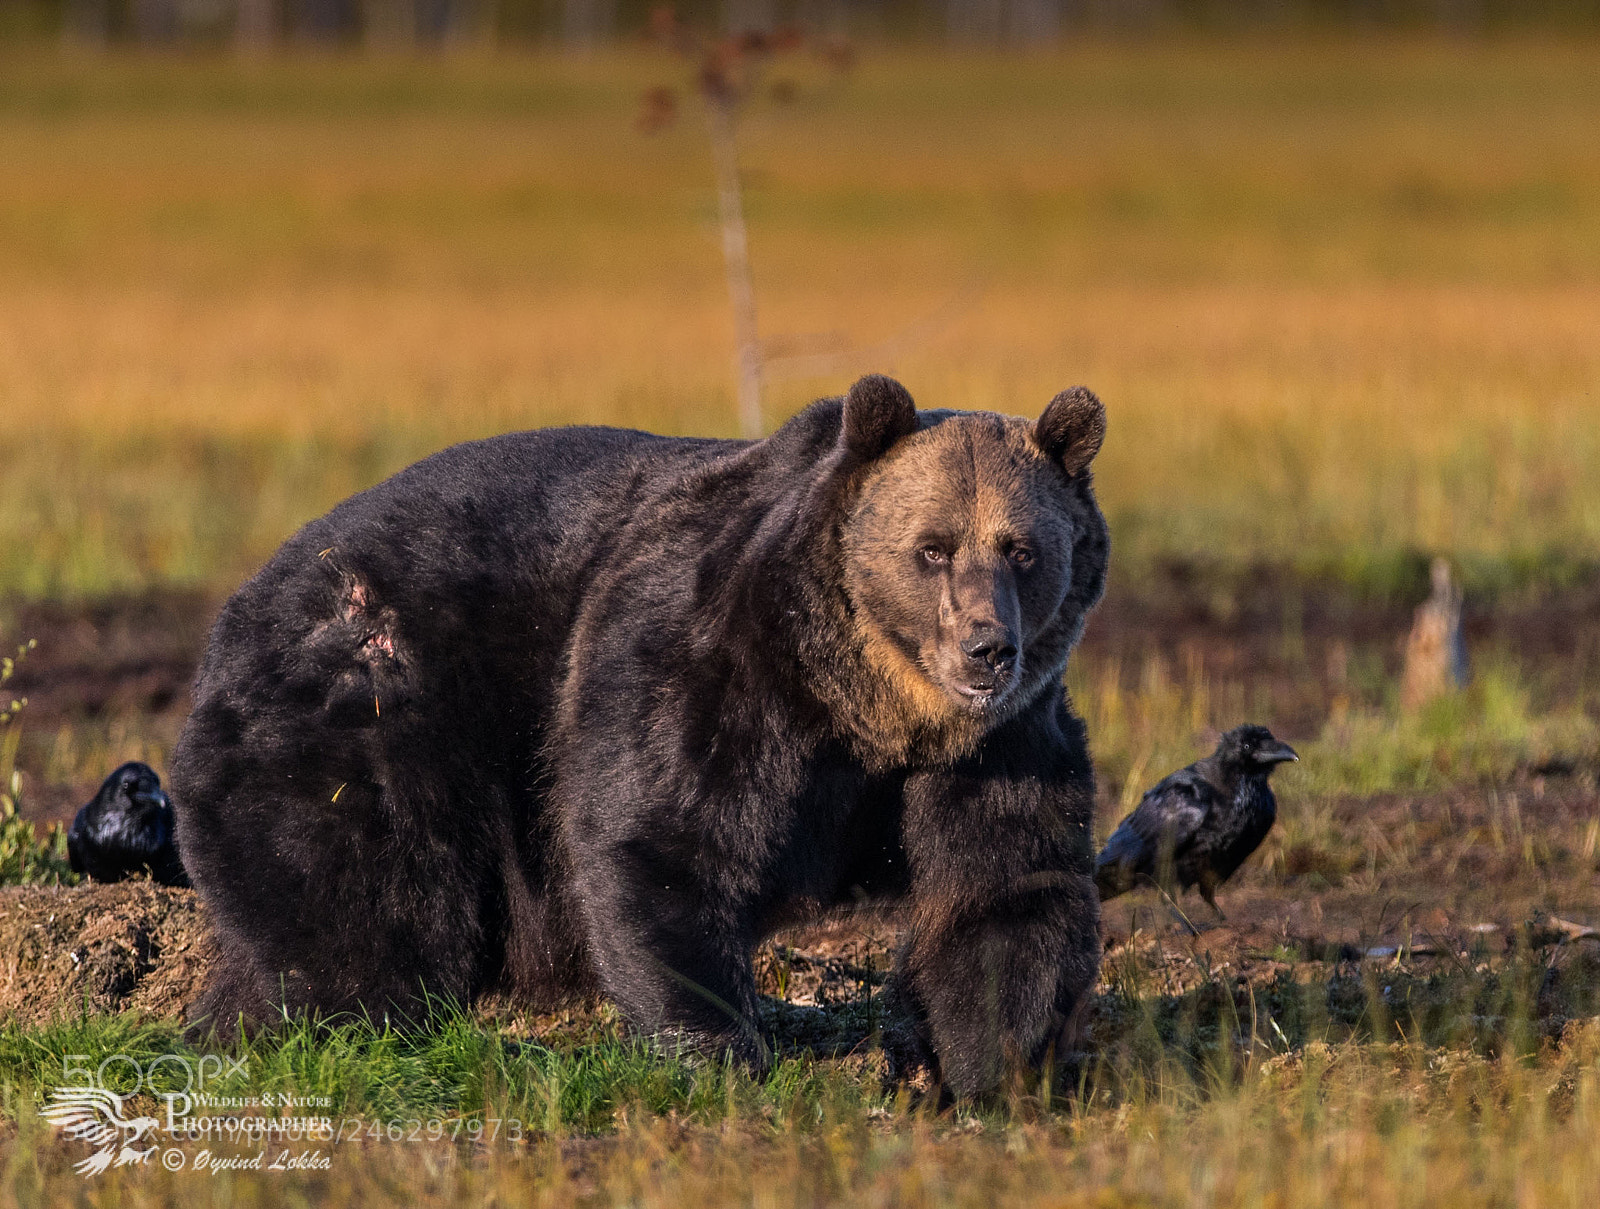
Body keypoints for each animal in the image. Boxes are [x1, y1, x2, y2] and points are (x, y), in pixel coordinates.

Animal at [169, 374, 1110, 1097]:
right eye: (933, 547)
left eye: (1022, 549)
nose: (987, 648)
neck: (867, 707)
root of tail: (235, 609)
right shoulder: (707, 661)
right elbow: (663, 836)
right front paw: (724, 1056)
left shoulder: (1002, 742)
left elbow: (1005, 883)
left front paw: (978, 1070)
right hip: (366, 700)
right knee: (361, 892)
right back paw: (348, 1032)